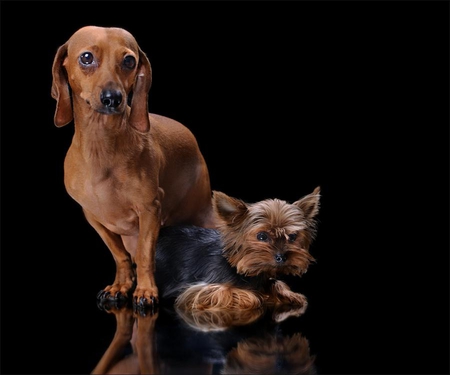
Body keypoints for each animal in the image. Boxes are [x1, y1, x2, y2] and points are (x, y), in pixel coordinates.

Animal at [50, 26, 216, 308]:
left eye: (129, 60)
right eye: (86, 58)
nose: (113, 98)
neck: (100, 145)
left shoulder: (150, 211)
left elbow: (146, 256)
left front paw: (146, 291)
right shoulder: (93, 217)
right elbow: (120, 256)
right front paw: (122, 285)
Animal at [153, 187, 322, 314]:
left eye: (292, 236)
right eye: (261, 236)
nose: (282, 257)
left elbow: (276, 283)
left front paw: (290, 294)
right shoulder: (200, 289)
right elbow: (243, 295)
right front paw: (258, 297)